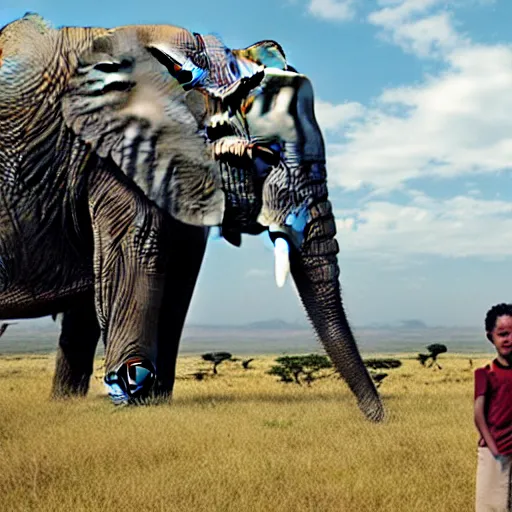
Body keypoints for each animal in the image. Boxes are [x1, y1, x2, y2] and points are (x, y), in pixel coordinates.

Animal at [0, 13, 384, 420]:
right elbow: (138, 250)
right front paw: (134, 405)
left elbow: (181, 269)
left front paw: (152, 400)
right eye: (266, 155)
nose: (376, 419)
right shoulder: (117, 153)